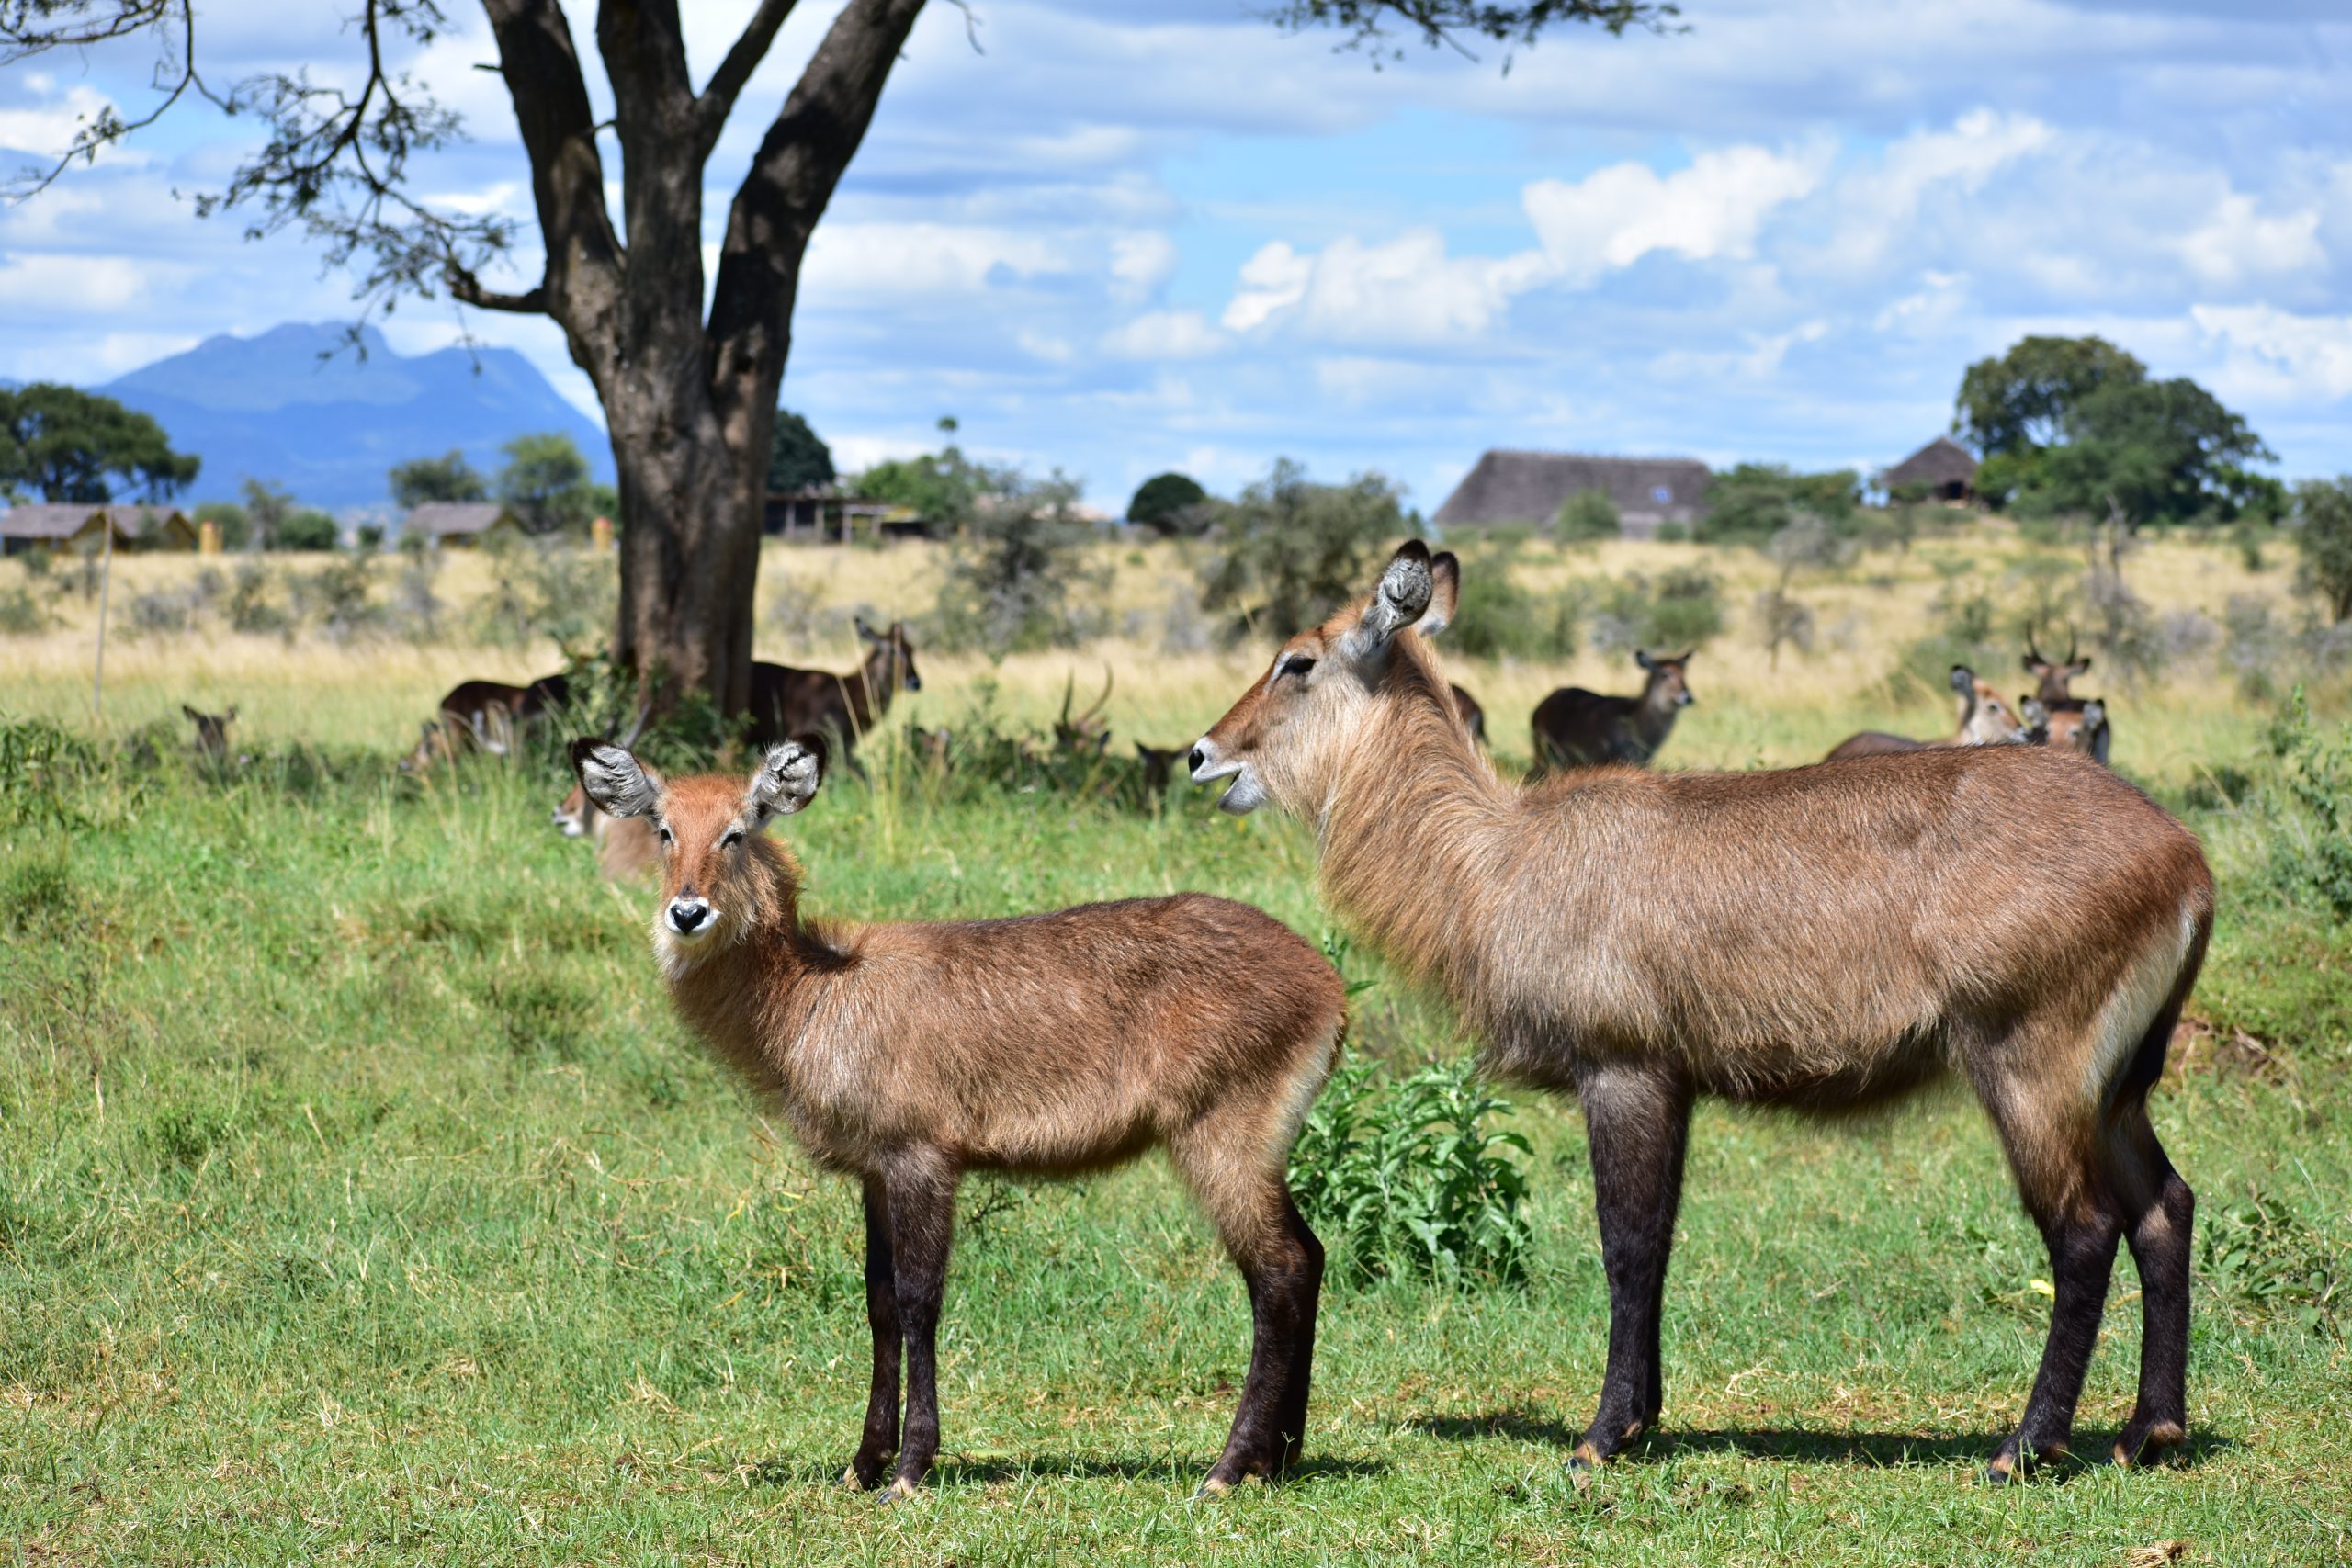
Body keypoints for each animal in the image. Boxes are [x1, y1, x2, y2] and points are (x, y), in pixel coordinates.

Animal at [564, 738, 1345, 1495]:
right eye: (664, 829)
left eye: (737, 830)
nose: (687, 912)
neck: (815, 990)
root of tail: (1328, 982)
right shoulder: (875, 1171)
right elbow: (878, 1300)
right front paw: (862, 1464)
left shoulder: (923, 1158)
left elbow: (919, 1301)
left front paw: (910, 1468)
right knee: (1307, 1256)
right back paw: (1279, 1458)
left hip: (1220, 1136)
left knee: (1277, 1269)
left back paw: (1229, 1468)